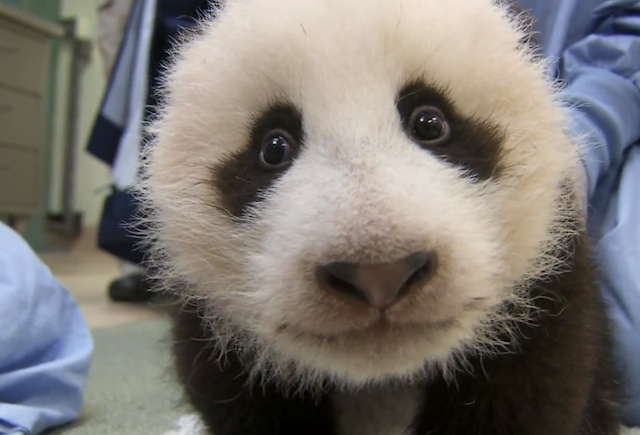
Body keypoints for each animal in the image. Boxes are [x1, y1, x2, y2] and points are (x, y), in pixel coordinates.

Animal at [138, 0, 621, 433]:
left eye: (430, 122)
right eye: (273, 147)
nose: (381, 273)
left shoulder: (547, 284)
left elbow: (534, 386)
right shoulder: (212, 330)